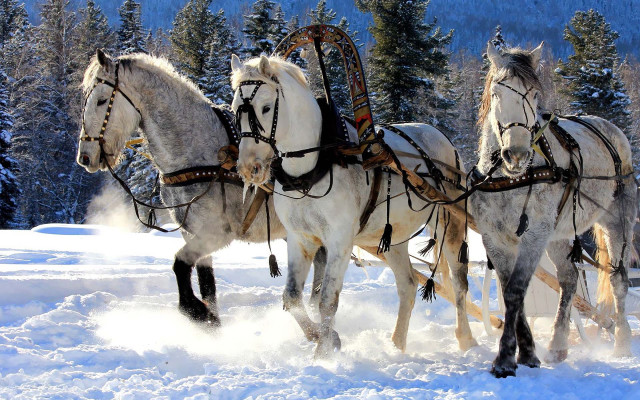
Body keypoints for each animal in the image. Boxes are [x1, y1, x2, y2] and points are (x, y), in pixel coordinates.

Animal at [76, 49, 327, 327]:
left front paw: (196, 311)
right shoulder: (192, 232)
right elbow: (206, 283)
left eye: (101, 100)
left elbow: (180, 265)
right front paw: (212, 323)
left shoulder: (216, 233)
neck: (198, 153)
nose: (85, 156)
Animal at [230, 54, 475, 357]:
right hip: (393, 237)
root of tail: (442, 137)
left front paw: (323, 352)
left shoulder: (339, 240)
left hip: (448, 223)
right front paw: (319, 336)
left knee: (459, 283)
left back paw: (465, 339)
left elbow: (326, 301)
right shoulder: (300, 239)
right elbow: (292, 298)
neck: (312, 169)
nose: (248, 168)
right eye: (235, 110)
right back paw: (397, 344)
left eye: (265, 108)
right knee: (407, 285)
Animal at [473, 42, 636, 377]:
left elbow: (515, 290)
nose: (517, 153)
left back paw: (622, 342)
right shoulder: (495, 238)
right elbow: (511, 291)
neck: (511, 178)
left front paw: (506, 358)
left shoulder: (534, 234)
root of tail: (610, 129)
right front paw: (528, 353)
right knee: (570, 278)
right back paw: (559, 345)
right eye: (497, 92)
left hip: (618, 222)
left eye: (534, 94)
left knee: (618, 281)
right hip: (560, 233)